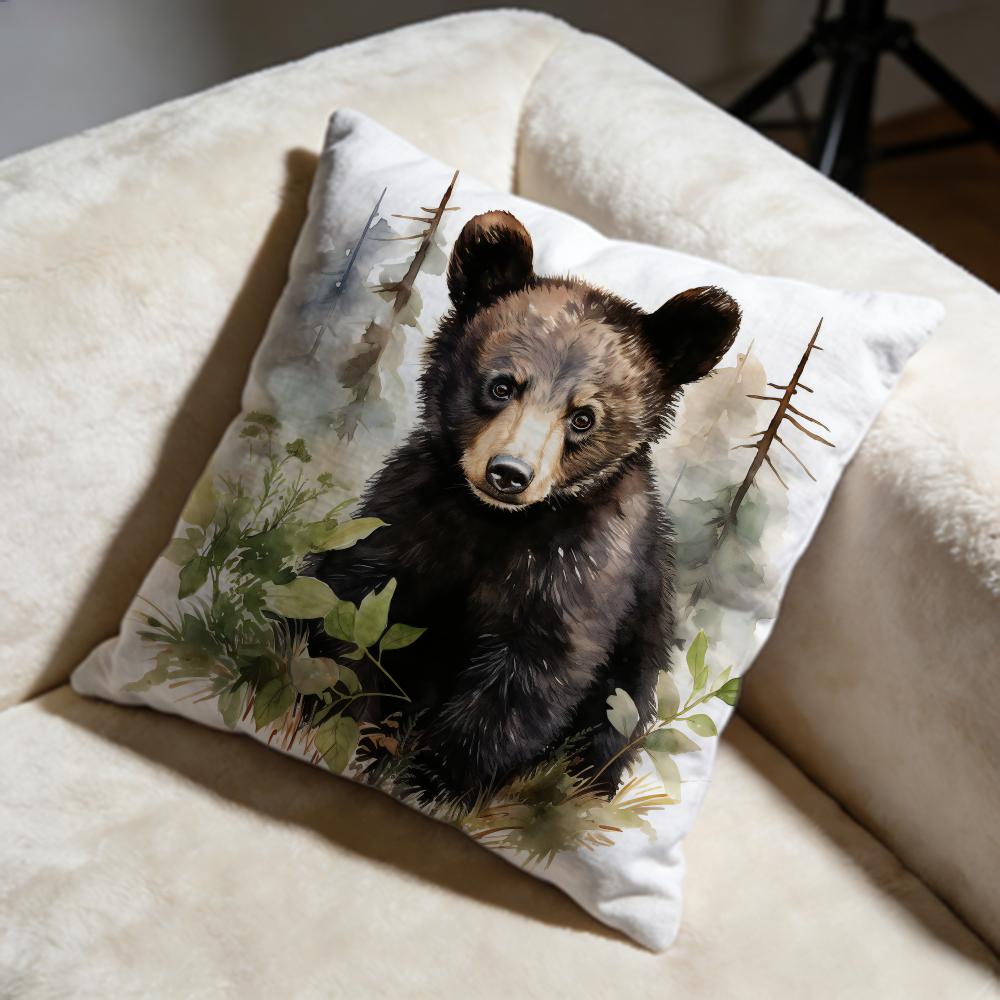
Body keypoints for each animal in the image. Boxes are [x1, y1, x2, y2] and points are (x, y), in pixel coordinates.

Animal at [304, 211, 741, 806]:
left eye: (583, 417)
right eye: (502, 385)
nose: (509, 473)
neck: (496, 524)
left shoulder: (581, 564)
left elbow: (530, 673)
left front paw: (433, 780)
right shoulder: (414, 514)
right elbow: (352, 602)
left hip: (631, 672)